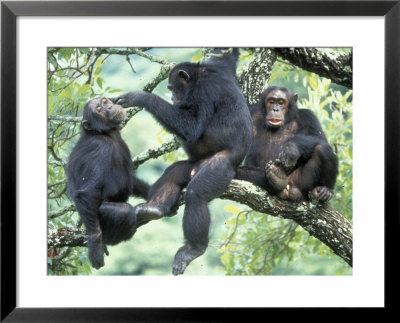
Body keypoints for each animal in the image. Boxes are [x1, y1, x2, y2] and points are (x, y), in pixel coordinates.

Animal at [66, 97, 149, 270]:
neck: (107, 134)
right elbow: (88, 191)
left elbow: (132, 179)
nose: (109, 107)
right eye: (98, 109)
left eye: (104, 101)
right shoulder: (99, 149)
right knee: (124, 212)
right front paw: (95, 245)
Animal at [114, 48, 252, 276]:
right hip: (190, 165)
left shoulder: (204, 92)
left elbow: (191, 126)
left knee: (196, 194)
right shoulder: (220, 64)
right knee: (173, 175)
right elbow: (227, 53)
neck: (198, 77)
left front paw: (139, 97)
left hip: (221, 167)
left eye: (171, 88)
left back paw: (193, 249)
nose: (171, 96)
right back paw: (155, 208)